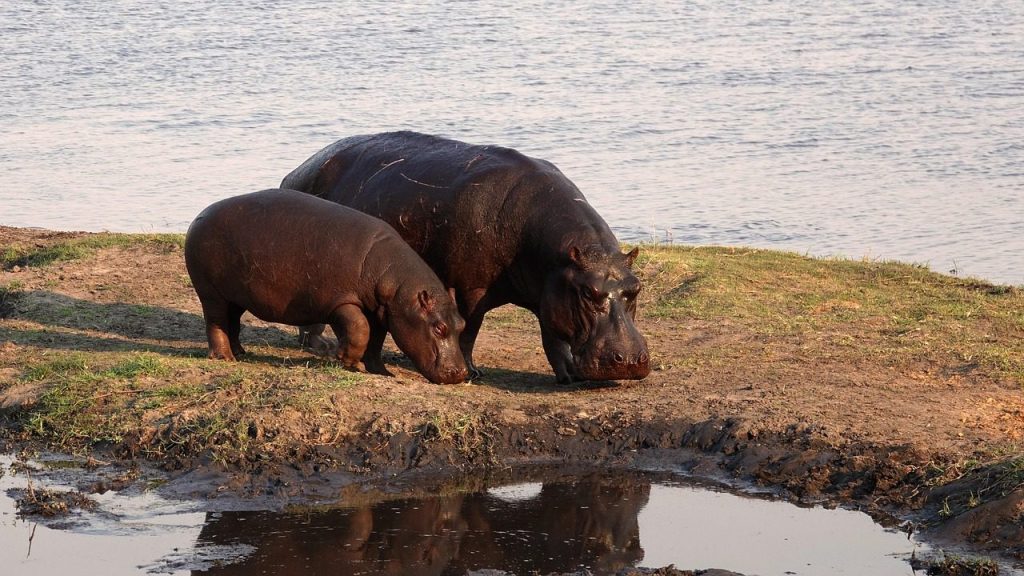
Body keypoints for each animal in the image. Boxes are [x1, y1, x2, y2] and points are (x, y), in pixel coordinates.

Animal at [183, 188, 469, 384]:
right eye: (439, 328)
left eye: (462, 324)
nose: (461, 373)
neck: (394, 284)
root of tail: (199, 216)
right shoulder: (341, 302)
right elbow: (359, 329)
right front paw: (347, 361)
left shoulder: (381, 312)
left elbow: (375, 340)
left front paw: (380, 371)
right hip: (211, 293)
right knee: (216, 322)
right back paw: (224, 357)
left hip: (236, 297)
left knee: (232, 321)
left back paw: (240, 352)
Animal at [281, 131, 650, 383]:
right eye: (588, 292)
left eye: (636, 288)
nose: (630, 361)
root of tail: (296, 171)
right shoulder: (473, 287)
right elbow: (471, 326)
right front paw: (472, 371)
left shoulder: (551, 291)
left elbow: (553, 334)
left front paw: (568, 375)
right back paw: (317, 345)